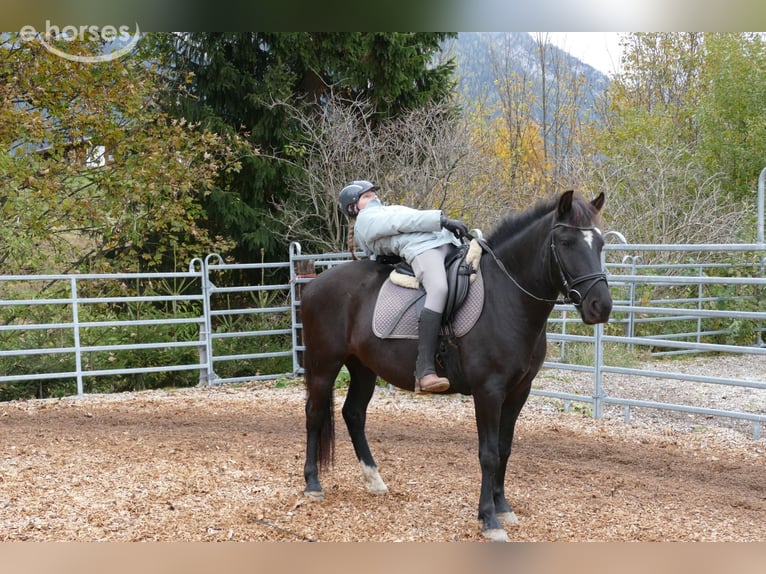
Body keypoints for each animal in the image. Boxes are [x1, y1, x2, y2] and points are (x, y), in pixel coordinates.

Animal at [300, 190, 613, 542]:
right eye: (566, 242)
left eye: (600, 244)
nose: (601, 306)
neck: (507, 297)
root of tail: (313, 284)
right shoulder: (488, 392)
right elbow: (488, 454)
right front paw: (489, 519)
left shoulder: (518, 392)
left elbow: (504, 448)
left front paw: (503, 507)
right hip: (324, 366)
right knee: (314, 414)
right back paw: (313, 484)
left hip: (363, 368)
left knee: (353, 414)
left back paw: (374, 480)